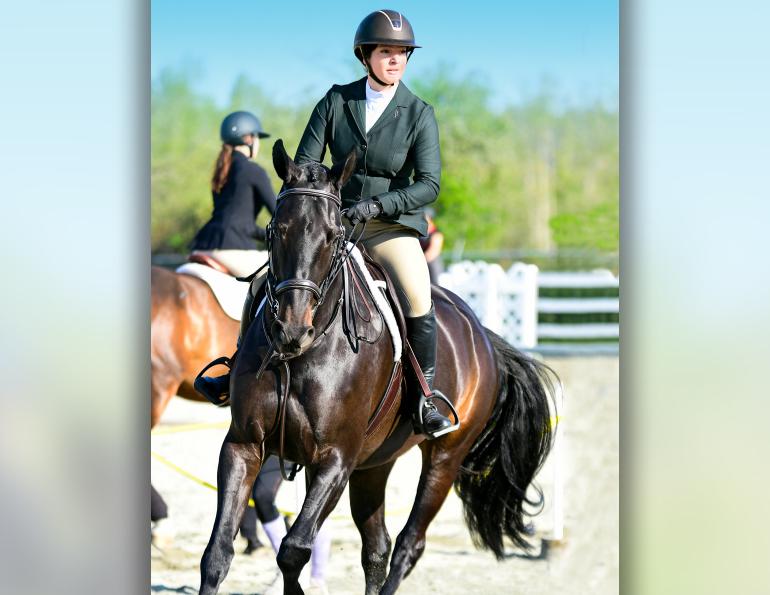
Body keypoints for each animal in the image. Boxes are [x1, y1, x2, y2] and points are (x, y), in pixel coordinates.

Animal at [198, 139, 557, 595]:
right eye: (275, 230)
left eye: (333, 236)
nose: (292, 330)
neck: (304, 353)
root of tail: (482, 335)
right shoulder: (244, 446)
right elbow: (217, 554)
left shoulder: (335, 459)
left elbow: (294, 549)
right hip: (375, 463)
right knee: (377, 547)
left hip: (444, 458)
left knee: (408, 543)